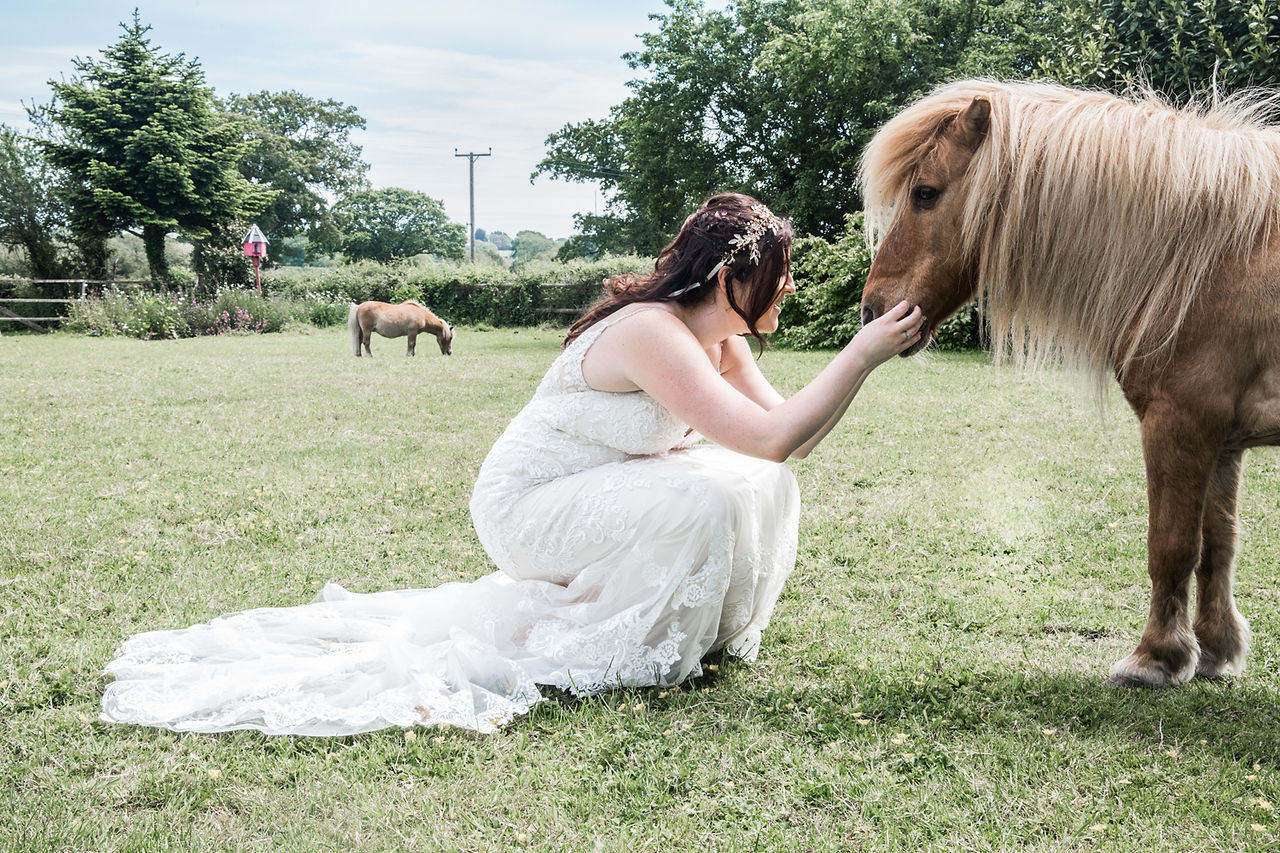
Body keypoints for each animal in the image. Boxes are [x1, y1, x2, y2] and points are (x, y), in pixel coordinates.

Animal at [858, 79, 1280, 688]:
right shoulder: (1222, 441)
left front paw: (1155, 658)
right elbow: (1217, 545)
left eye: (926, 193)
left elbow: (1172, 546)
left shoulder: (1180, 423)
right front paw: (1217, 650)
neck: (1215, 256)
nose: (872, 311)